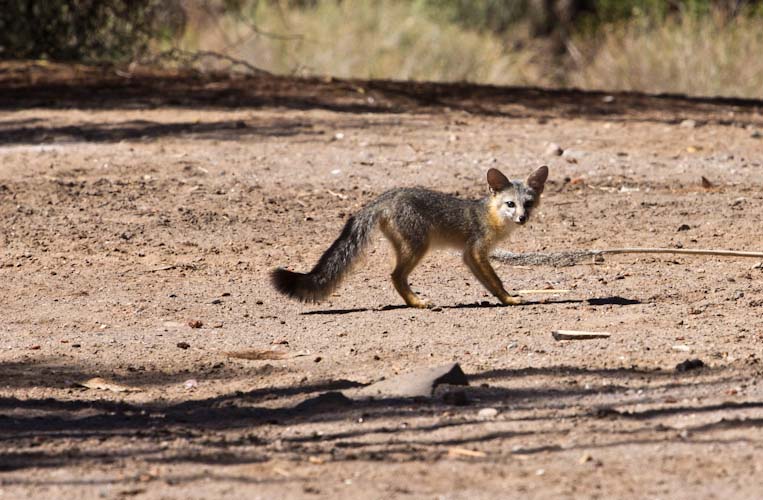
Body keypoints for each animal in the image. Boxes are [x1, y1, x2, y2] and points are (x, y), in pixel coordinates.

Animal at [272, 166, 548, 306]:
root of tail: (386, 196)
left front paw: (502, 299)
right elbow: (496, 280)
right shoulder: (477, 250)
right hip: (418, 248)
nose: (523, 218)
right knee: (395, 276)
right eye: (510, 204)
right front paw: (509, 298)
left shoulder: (469, 256)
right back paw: (417, 303)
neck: (490, 215)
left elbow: (488, 282)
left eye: (528, 204)